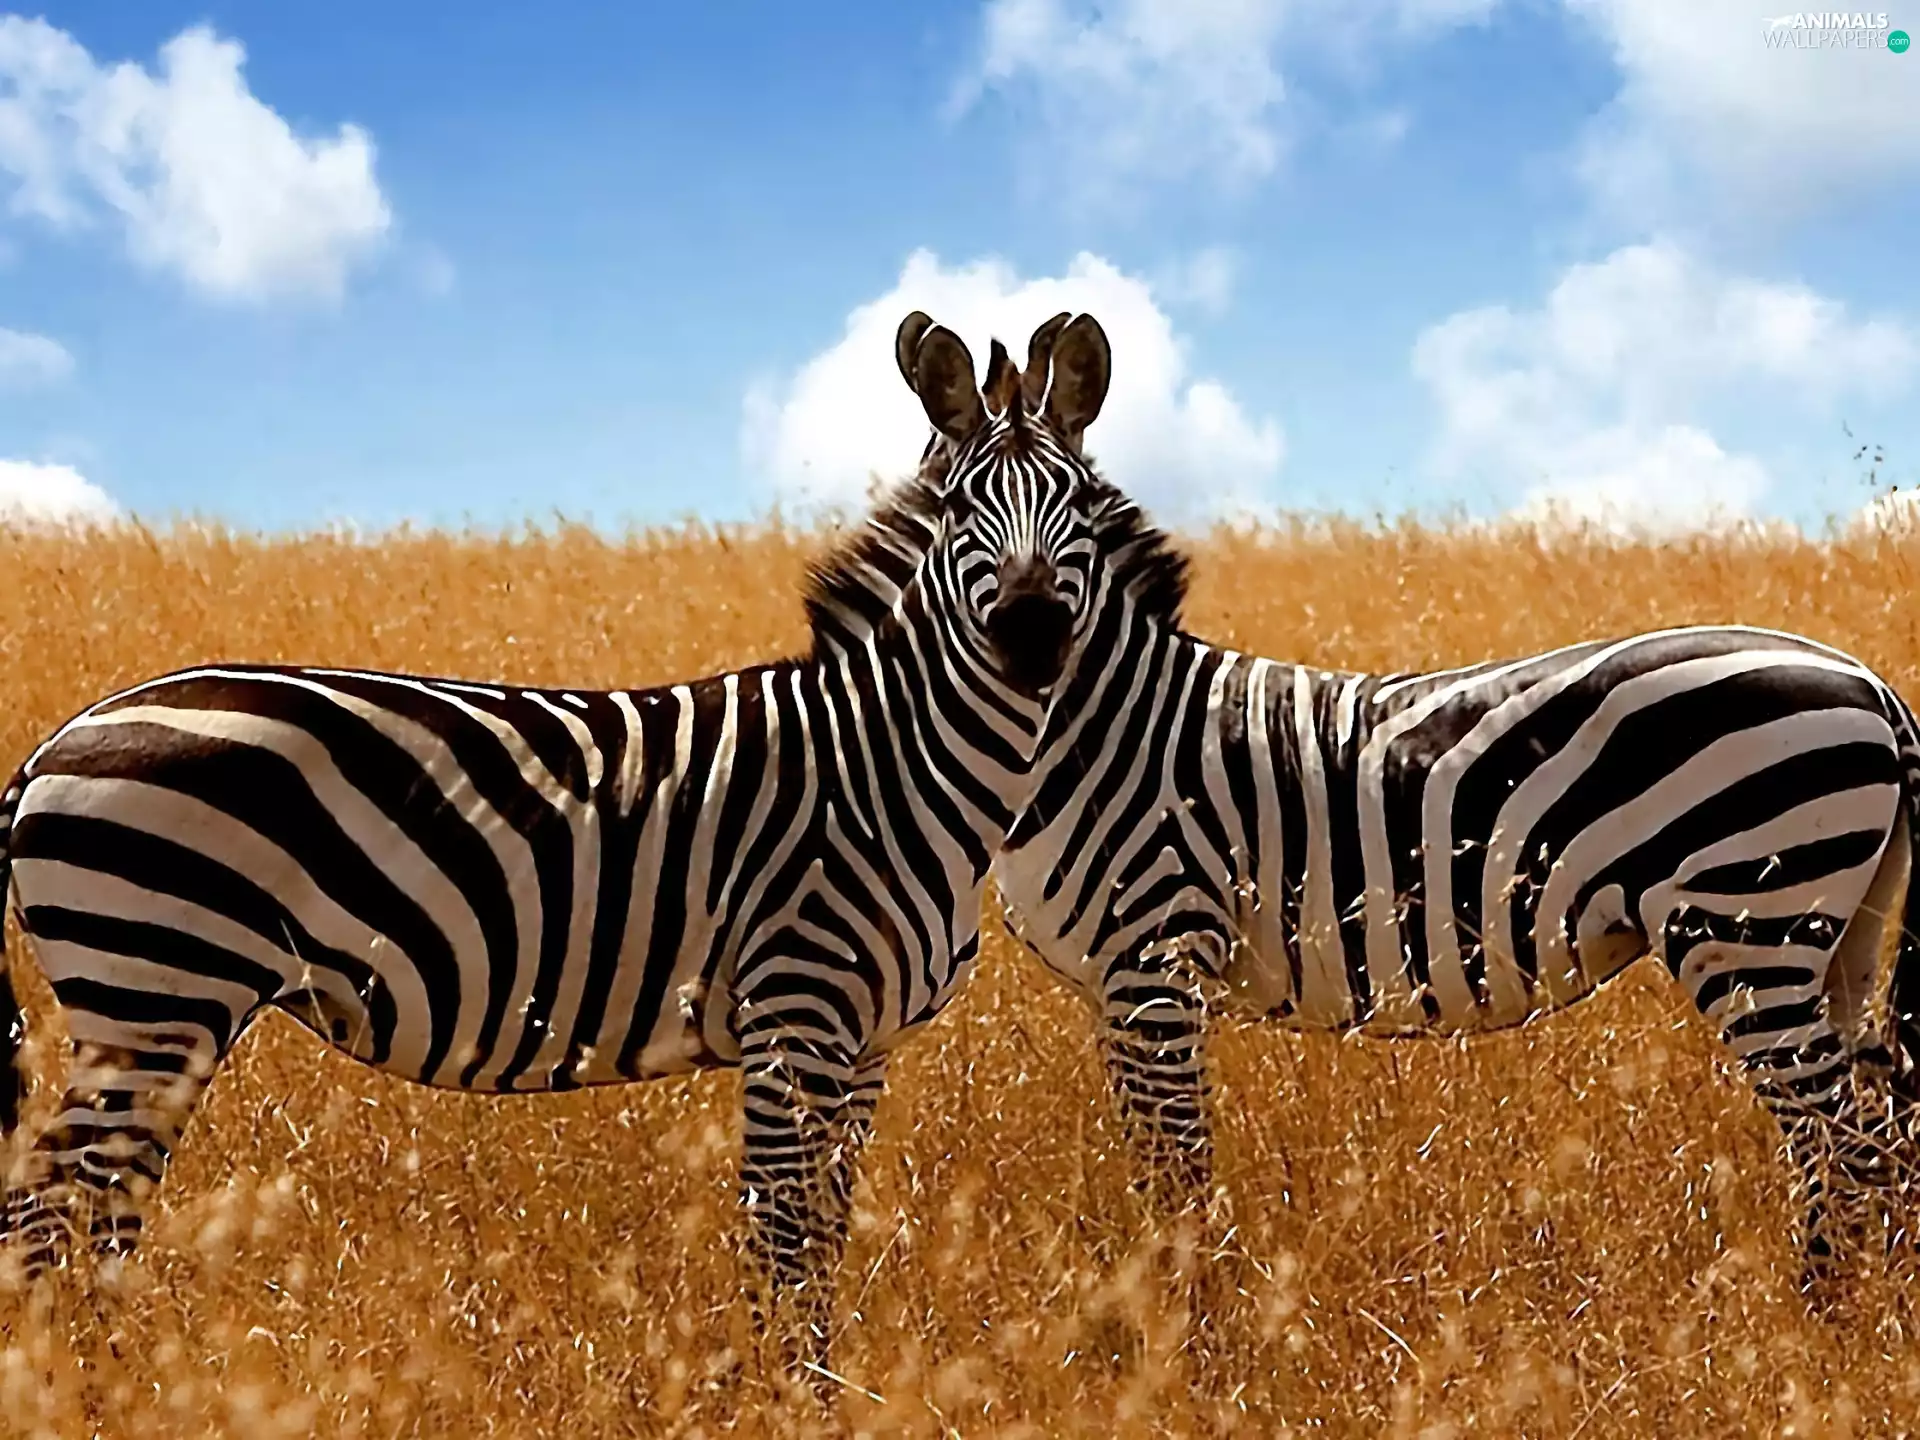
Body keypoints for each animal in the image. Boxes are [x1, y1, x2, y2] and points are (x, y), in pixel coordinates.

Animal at [0, 306, 1144, 1390]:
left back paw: (116, 1383)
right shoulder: (795, 1008)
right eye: (960, 510)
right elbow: (782, 1240)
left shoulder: (862, 1044)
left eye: (1083, 505)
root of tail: (57, 742)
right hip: (155, 985)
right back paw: (82, 1392)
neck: (896, 756)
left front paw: (820, 1385)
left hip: (153, 1007)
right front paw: (790, 1398)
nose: (1033, 633)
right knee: (49, 1217)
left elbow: (822, 1235)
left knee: (88, 1214)